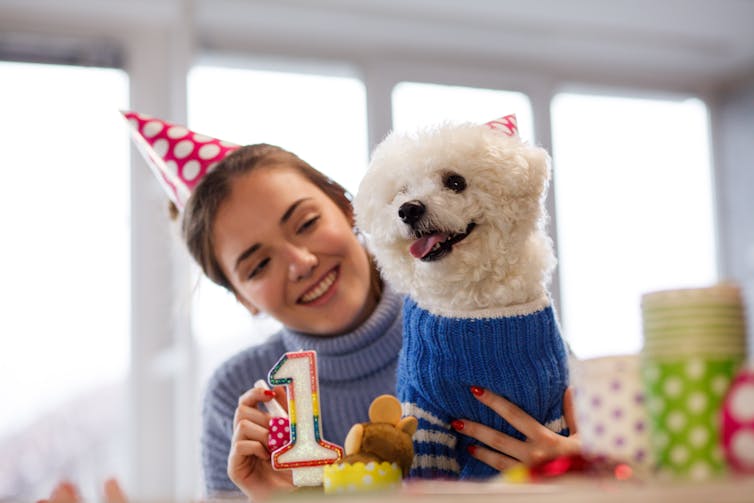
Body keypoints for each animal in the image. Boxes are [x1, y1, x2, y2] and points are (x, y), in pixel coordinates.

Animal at [356, 115, 568, 480]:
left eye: (455, 182)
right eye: (402, 191)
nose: (408, 210)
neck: (472, 305)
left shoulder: (548, 411)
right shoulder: (424, 413)